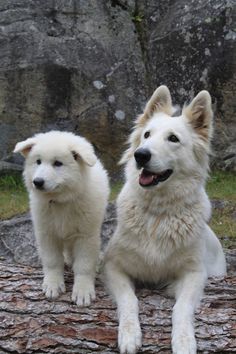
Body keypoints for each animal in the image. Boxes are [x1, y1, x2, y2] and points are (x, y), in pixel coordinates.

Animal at [14, 131, 109, 306]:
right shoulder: (47, 232)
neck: (61, 201)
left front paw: (83, 291)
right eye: (38, 161)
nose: (37, 182)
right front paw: (53, 285)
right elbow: (52, 260)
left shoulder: (86, 235)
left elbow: (84, 264)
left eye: (58, 163)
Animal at [104, 86, 226, 354]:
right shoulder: (113, 267)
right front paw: (129, 335)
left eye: (173, 139)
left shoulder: (193, 274)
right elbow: (129, 300)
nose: (140, 155)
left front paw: (184, 341)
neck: (158, 214)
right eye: (147, 135)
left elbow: (181, 308)